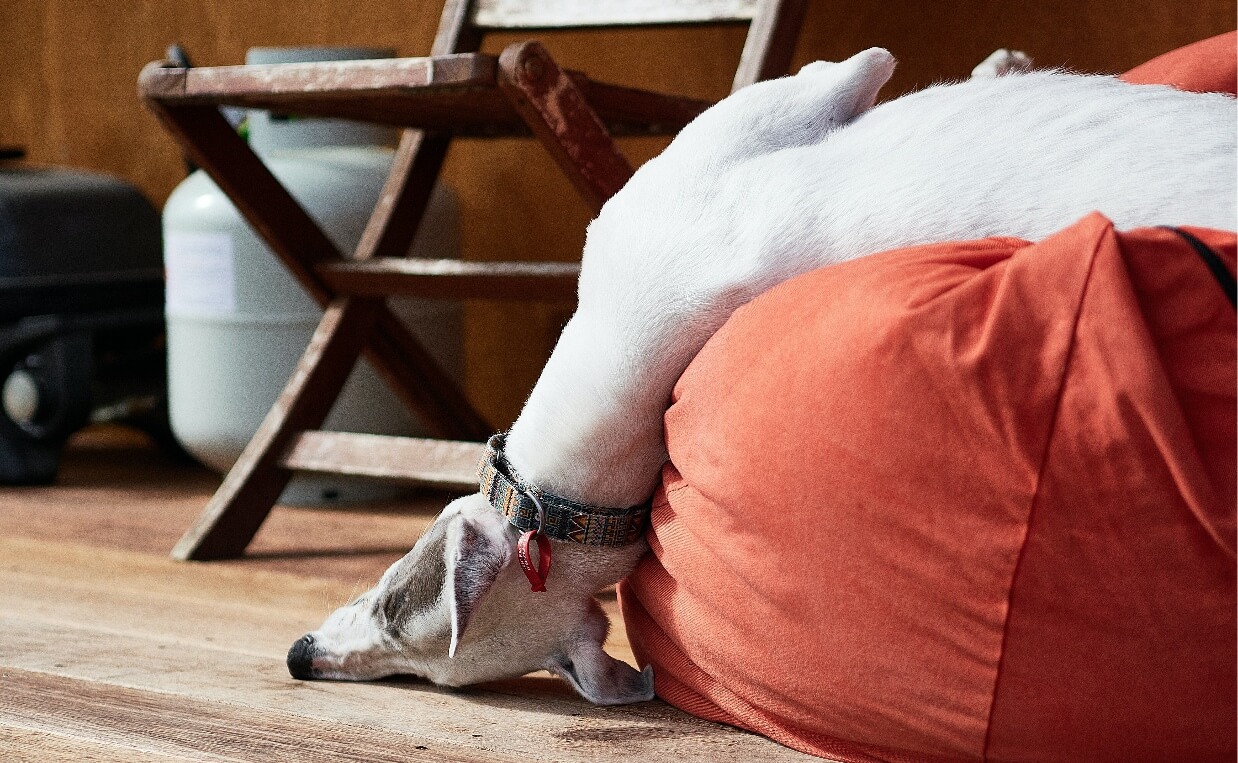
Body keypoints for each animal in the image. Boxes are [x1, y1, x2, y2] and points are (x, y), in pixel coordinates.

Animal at [284, 47, 1233, 703]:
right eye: (414, 670)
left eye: (390, 603)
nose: (299, 657)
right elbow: (859, 71)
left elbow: (862, 68)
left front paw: (998, 63)